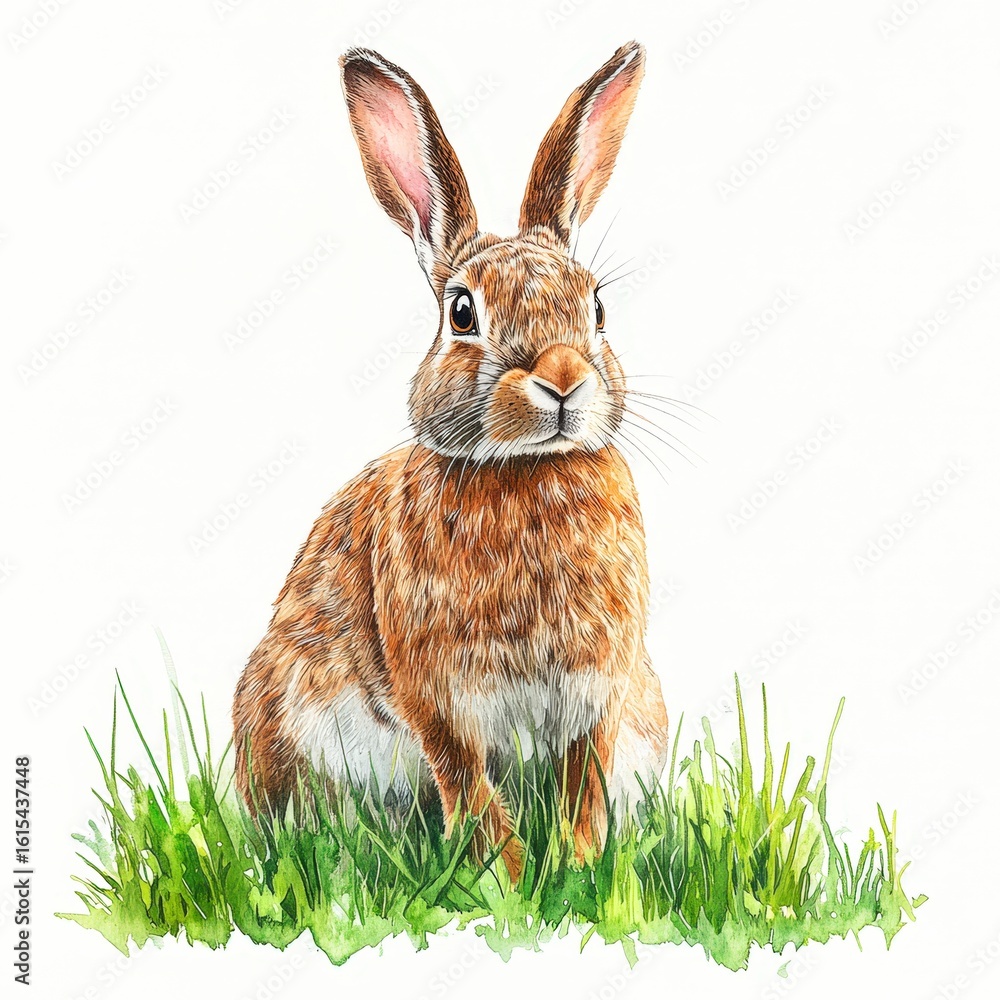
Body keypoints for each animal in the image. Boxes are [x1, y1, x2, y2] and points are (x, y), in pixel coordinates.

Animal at [232, 40, 668, 883]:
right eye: (462, 311)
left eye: (596, 306)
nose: (563, 376)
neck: (527, 470)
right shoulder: (441, 701)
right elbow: (470, 788)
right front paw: (511, 879)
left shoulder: (597, 694)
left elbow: (583, 787)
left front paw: (576, 871)